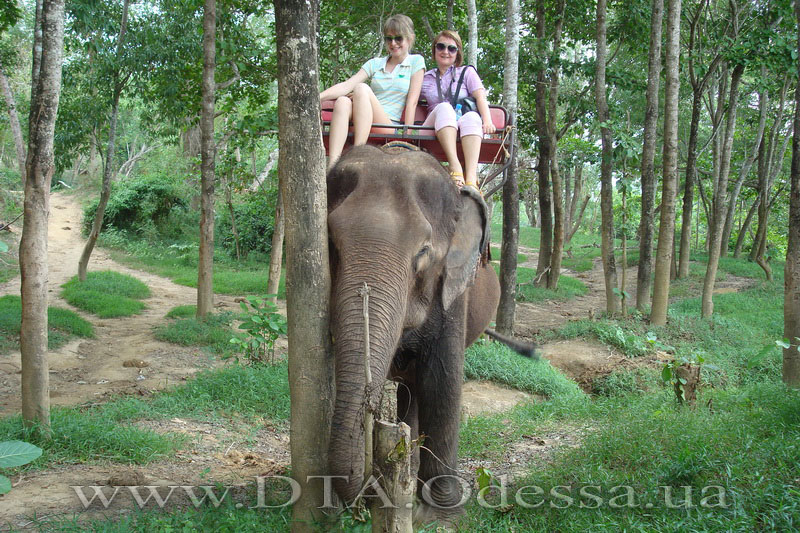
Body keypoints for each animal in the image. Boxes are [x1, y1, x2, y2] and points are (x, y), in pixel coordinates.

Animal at [324, 142, 532, 520]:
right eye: (332, 244)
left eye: (423, 252)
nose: (365, 493)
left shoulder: (453, 292)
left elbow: (443, 380)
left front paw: (440, 513)